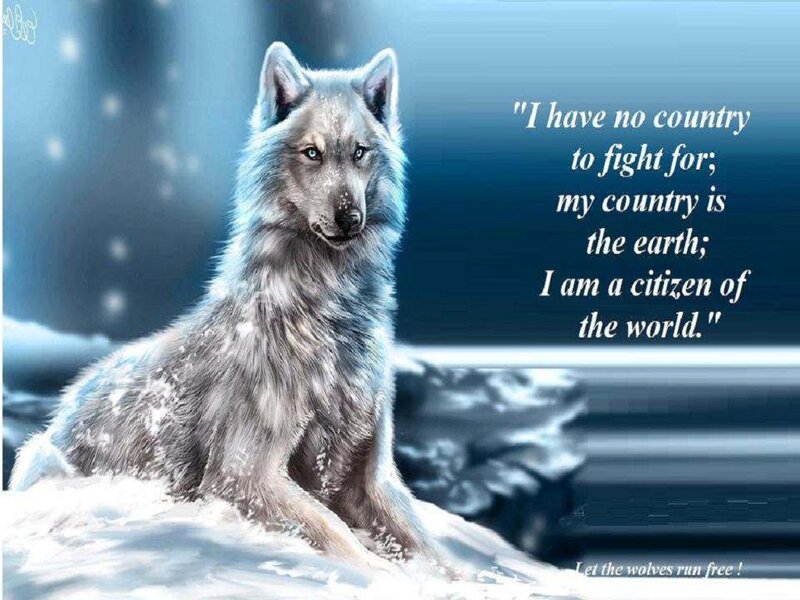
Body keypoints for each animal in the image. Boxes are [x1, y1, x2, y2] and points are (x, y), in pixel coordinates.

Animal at [11, 43, 446, 571]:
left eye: (360, 153)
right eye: (312, 153)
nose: (349, 217)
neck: (330, 318)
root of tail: (58, 414)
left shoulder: (369, 479)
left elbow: (433, 552)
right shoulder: (243, 473)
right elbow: (341, 539)